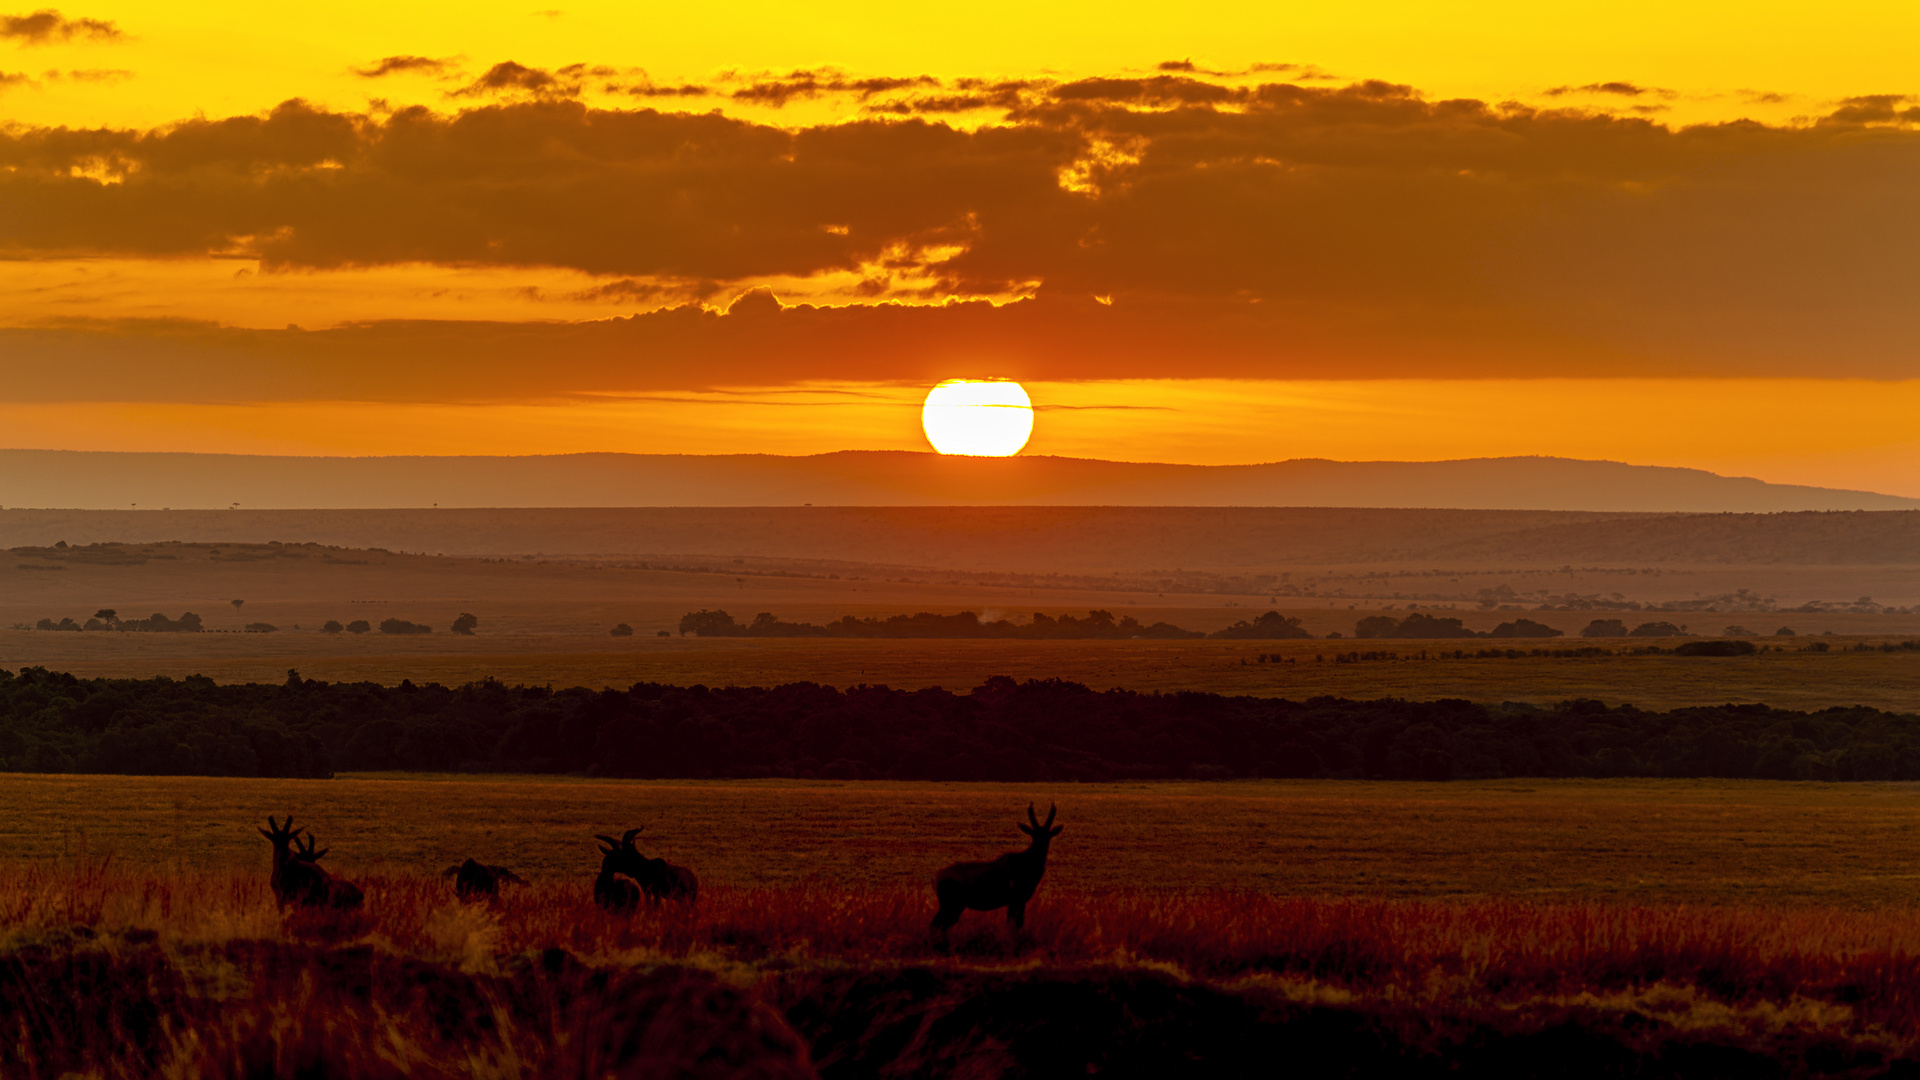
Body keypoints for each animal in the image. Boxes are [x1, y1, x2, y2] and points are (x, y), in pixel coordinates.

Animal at [933, 799, 1067, 933]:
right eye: (1034, 835)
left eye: (1048, 836)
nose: (1041, 852)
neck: (1024, 861)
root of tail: (938, 876)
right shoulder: (1016, 901)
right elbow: (1017, 924)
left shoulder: (1014, 903)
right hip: (951, 906)